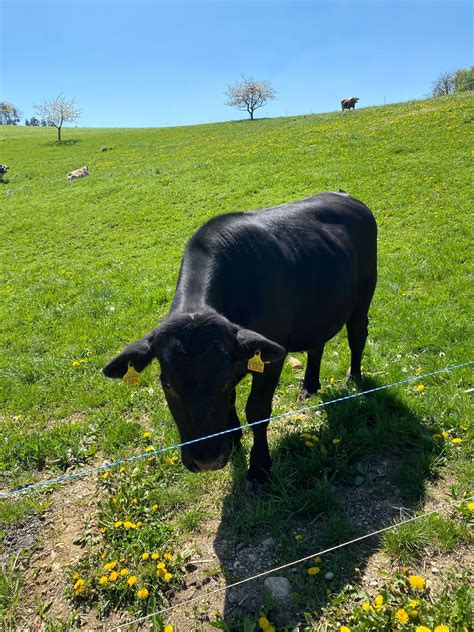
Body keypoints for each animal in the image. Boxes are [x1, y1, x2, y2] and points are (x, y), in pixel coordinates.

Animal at [104, 193, 378, 484]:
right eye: (167, 384)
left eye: (223, 380)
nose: (206, 459)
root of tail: (346, 197)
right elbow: (232, 406)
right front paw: (234, 442)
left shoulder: (270, 361)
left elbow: (257, 411)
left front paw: (259, 467)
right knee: (317, 344)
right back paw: (310, 386)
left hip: (364, 294)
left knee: (357, 336)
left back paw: (355, 378)